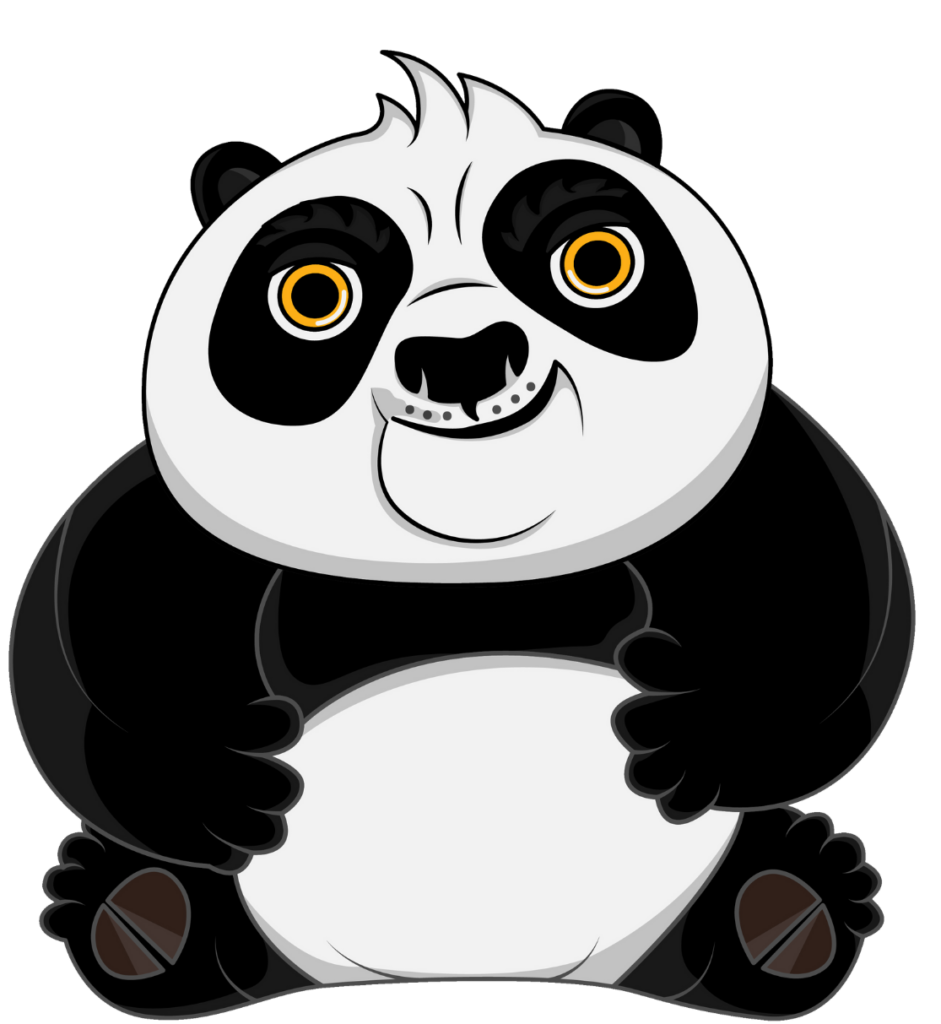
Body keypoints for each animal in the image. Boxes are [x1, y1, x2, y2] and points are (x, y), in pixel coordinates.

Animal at [10, 58, 914, 1018]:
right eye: (314, 296)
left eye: (596, 262)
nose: (464, 354)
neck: (477, 567)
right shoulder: (180, 500)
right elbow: (87, 600)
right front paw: (212, 774)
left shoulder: (743, 466)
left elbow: (831, 571)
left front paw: (703, 729)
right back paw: (144, 916)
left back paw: (783, 906)